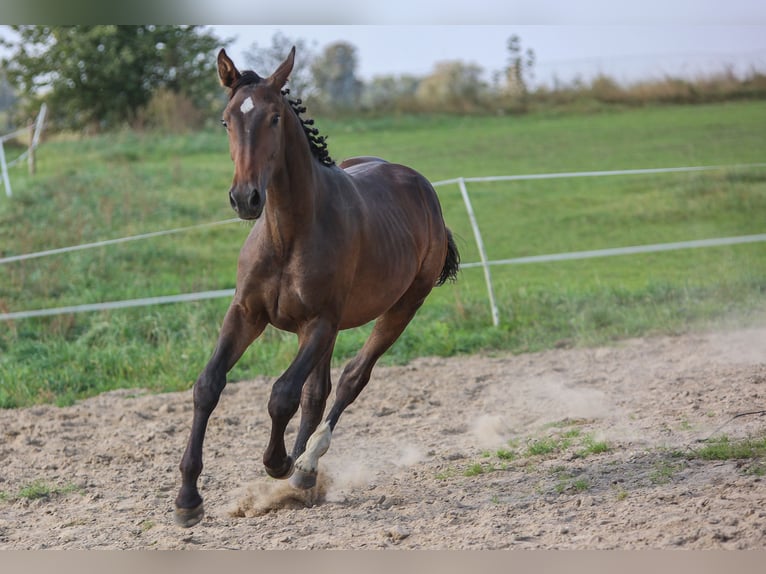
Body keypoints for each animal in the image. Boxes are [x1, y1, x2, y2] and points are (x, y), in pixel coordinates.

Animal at [174, 47, 460, 528]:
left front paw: (278, 463)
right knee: (318, 391)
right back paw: (300, 481)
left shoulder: (319, 322)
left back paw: (305, 466)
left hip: (402, 307)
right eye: (226, 120)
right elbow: (209, 384)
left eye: (274, 117)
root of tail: (423, 189)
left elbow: (282, 395)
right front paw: (188, 498)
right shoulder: (246, 313)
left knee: (350, 379)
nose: (245, 198)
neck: (288, 234)